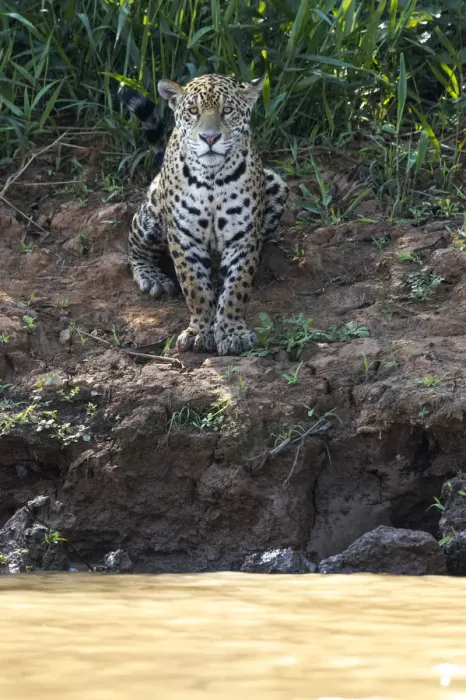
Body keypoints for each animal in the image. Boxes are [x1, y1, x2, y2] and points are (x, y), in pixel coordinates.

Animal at [123, 74, 288, 356]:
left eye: (227, 110)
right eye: (193, 111)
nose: (209, 138)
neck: (212, 178)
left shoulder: (242, 236)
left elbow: (237, 286)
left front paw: (233, 333)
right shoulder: (184, 236)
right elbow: (195, 287)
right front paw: (200, 331)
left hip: (276, 184)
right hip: (152, 212)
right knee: (135, 247)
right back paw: (152, 278)